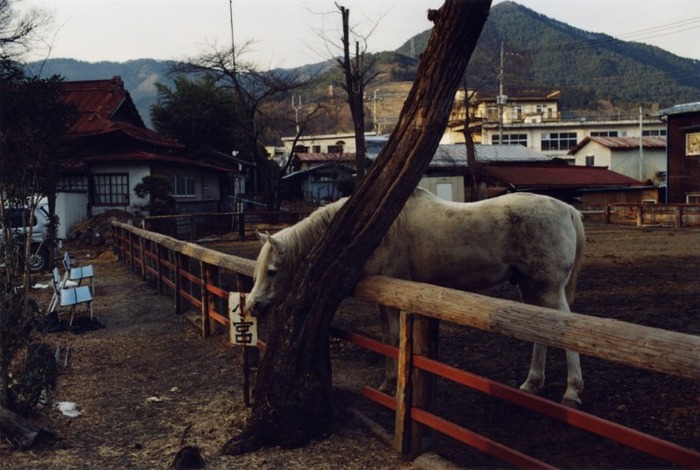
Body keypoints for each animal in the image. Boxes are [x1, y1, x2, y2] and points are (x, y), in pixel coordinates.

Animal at [246, 187, 586, 407]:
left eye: (273, 271)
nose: (253, 305)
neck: (375, 229)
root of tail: (567, 210)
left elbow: (397, 339)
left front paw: (395, 388)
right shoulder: (383, 297)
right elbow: (387, 339)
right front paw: (386, 383)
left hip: (548, 287)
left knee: (566, 329)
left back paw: (571, 391)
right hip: (529, 285)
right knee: (540, 333)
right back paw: (532, 382)